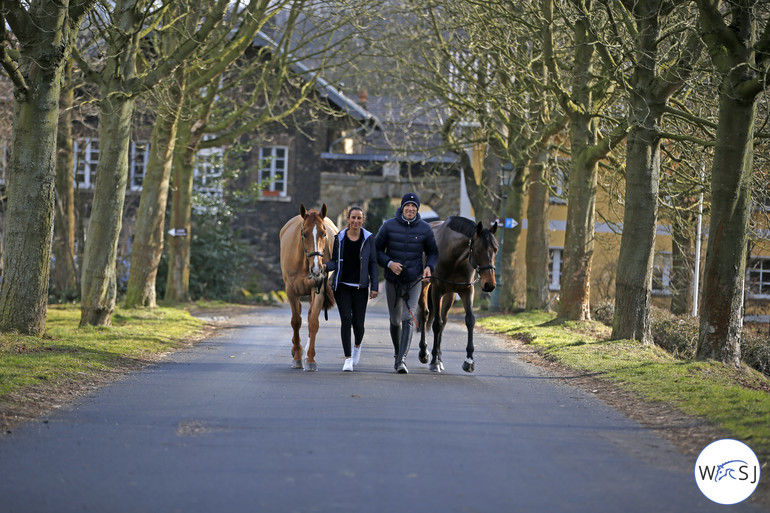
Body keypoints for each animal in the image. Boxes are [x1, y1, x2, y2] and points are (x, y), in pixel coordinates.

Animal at [278, 202, 334, 370]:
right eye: (304, 234)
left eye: (324, 234)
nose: (316, 269)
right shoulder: (291, 291)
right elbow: (296, 321)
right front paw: (297, 357)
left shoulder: (319, 289)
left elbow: (313, 322)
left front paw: (310, 359)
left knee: (309, 316)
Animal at [414, 216, 498, 372]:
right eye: (478, 250)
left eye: (496, 249)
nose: (489, 284)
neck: (455, 257)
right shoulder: (437, 290)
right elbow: (436, 323)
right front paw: (434, 361)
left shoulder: (466, 290)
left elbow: (470, 320)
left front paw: (469, 360)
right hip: (425, 286)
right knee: (425, 314)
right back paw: (424, 352)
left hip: (450, 294)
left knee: (444, 320)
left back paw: (439, 357)